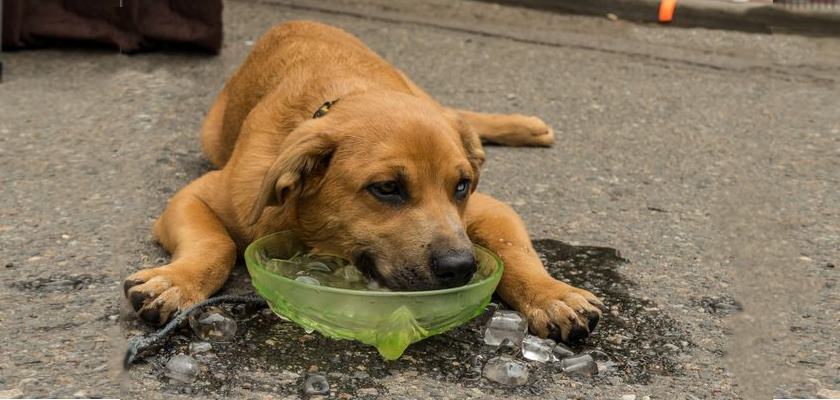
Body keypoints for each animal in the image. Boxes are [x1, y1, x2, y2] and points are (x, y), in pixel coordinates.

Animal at [121, 20, 600, 342]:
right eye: (386, 188)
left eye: (462, 186)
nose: (461, 268)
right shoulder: (196, 197)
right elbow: (214, 244)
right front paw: (177, 283)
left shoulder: (491, 209)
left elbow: (517, 253)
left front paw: (552, 294)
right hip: (211, 134)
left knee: (456, 114)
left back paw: (525, 126)